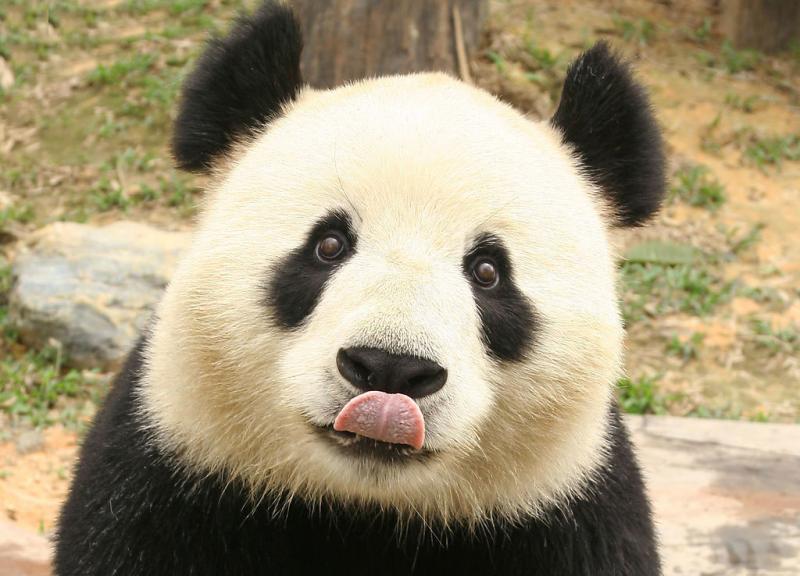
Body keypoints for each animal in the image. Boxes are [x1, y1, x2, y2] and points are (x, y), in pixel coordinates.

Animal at [55, 2, 666, 575]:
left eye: (488, 272)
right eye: (329, 244)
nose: (391, 369)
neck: (363, 509)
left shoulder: (562, 510)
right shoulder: (176, 467)